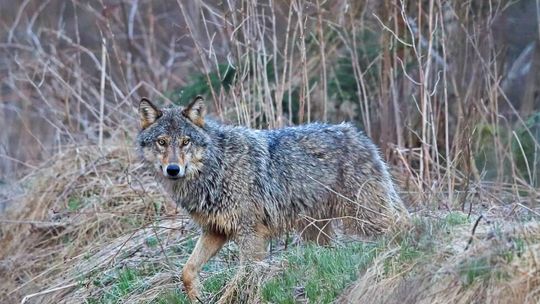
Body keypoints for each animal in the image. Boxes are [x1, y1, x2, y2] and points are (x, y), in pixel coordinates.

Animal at [137, 96, 408, 300]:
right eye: (162, 142)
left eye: (185, 142)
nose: (173, 169)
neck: (217, 167)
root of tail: (358, 134)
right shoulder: (215, 231)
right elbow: (187, 271)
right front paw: (198, 297)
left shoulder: (250, 234)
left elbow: (245, 276)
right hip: (316, 232)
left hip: (363, 217)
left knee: (403, 224)